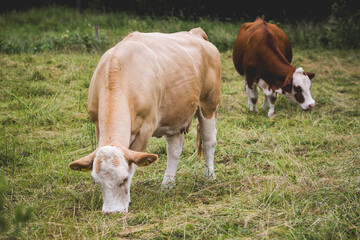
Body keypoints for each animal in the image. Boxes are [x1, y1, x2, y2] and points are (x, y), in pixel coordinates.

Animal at [66, 28, 221, 214]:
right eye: (97, 181)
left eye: (124, 179)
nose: (112, 212)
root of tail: (195, 33)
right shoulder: (97, 124)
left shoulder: (145, 129)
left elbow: (133, 165)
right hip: (174, 113)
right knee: (175, 148)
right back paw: (167, 184)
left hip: (209, 103)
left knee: (209, 140)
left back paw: (210, 175)